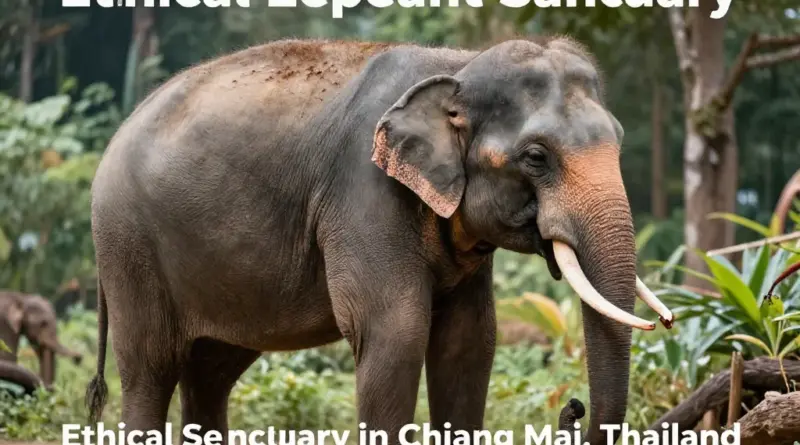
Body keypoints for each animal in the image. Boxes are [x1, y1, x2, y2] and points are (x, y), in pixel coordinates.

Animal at [86, 37, 674, 445]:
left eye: (619, 140)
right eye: (536, 157)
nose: (573, 407)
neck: (458, 66)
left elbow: (470, 341)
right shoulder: (364, 194)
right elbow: (395, 332)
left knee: (210, 372)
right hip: (127, 243)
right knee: (150, 369)